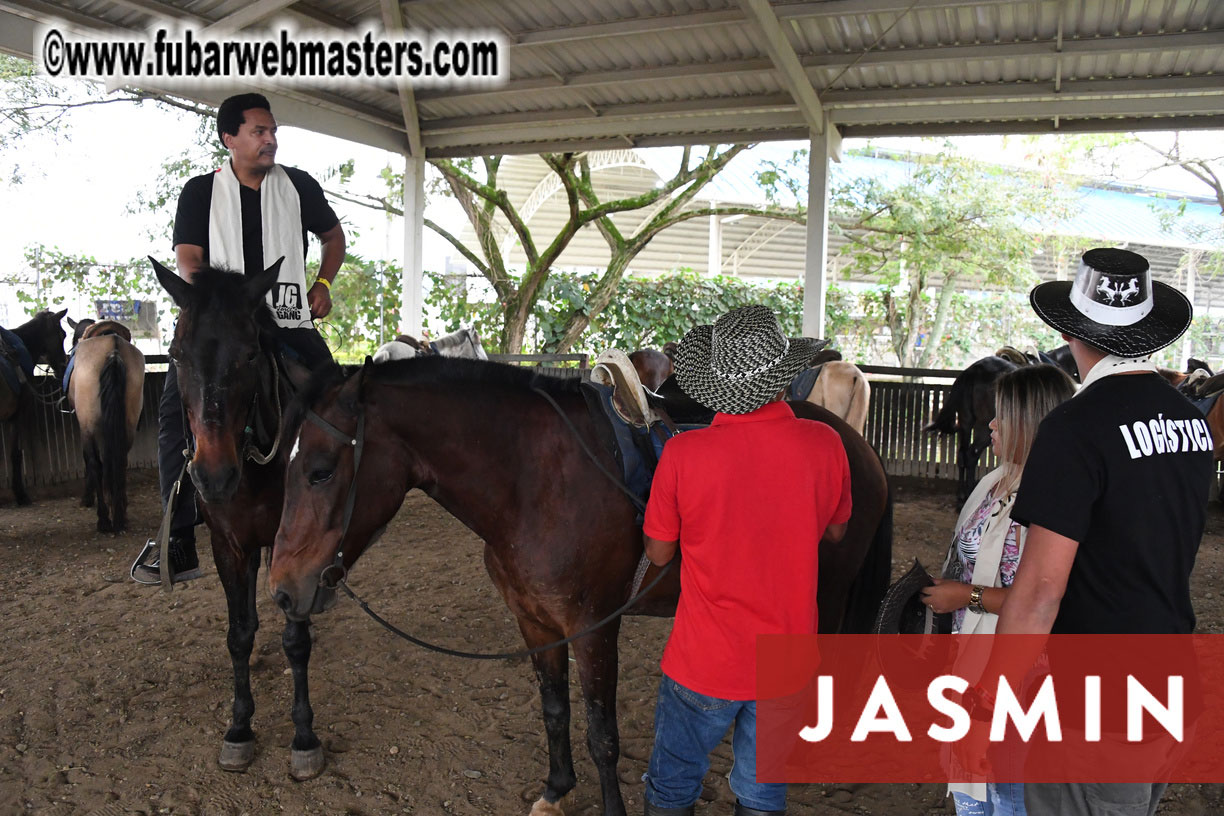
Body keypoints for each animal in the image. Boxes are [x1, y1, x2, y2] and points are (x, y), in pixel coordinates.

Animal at [66, 318, 145, 535]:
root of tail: (113, 351)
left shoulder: (84, 428)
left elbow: (89, 462)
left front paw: (87, 498)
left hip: (89, 426)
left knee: (96, 463)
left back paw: (104, 519)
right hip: (127, 425)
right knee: (121, 461)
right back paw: (120, 514)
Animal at [149, 258, 325, 782]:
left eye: (249, 355)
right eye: (175, 355)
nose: (213, 474)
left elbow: (296, 640)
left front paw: (304, 736)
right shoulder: (229, 546)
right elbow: (239, 634)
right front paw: (240, 727)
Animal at [265, 357, 891, 816]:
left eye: (321, 471)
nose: (284, 590)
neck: (534, 482)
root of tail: (858, 445)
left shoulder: (593, 628)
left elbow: (602, 733)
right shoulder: (536, 622)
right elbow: (555, 710)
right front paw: (556, 789)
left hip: (824, 599)